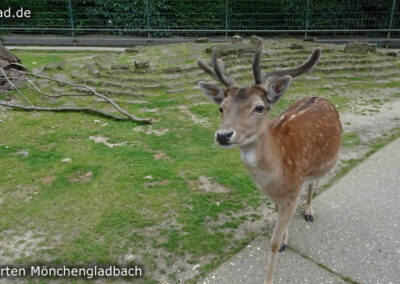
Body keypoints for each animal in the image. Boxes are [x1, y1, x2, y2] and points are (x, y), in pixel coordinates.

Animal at [195, 39, 342, 284]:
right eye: (221, 107)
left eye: (259, 107)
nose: (223, 135)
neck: (278, 176)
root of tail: (320, 97)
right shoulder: (275, 196)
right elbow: (279, 225)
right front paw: (285, 241)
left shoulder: (292, 192)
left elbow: (272, 243)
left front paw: (270, 272)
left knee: (314, 182)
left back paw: (309, 211)